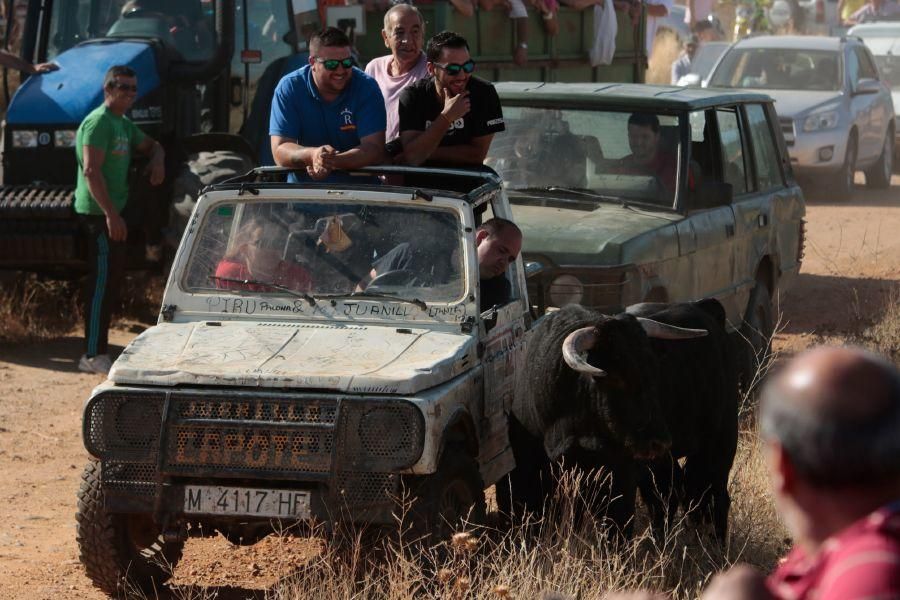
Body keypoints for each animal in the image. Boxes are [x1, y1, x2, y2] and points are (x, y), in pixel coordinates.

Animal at [500, 300, 740, 540]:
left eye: (655, 371)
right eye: (616, 377)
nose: (659, 441)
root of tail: (703, 308)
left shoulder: (620, 475)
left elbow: (618, 524)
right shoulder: (529, 472)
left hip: (720, 441)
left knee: (712, 496)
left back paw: (716, 544)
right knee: (669, 495)